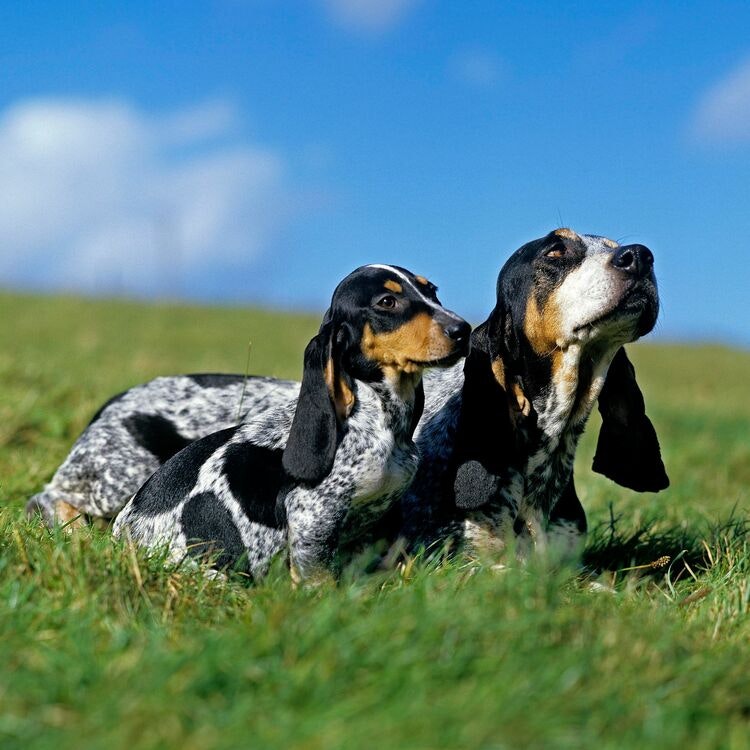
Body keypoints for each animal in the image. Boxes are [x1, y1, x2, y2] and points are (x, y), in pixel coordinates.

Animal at [111, 264, 470, 580]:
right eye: (387, 302)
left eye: (432, 291)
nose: (462, 330)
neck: (377, 416)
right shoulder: (314, 516)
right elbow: (319, 579)